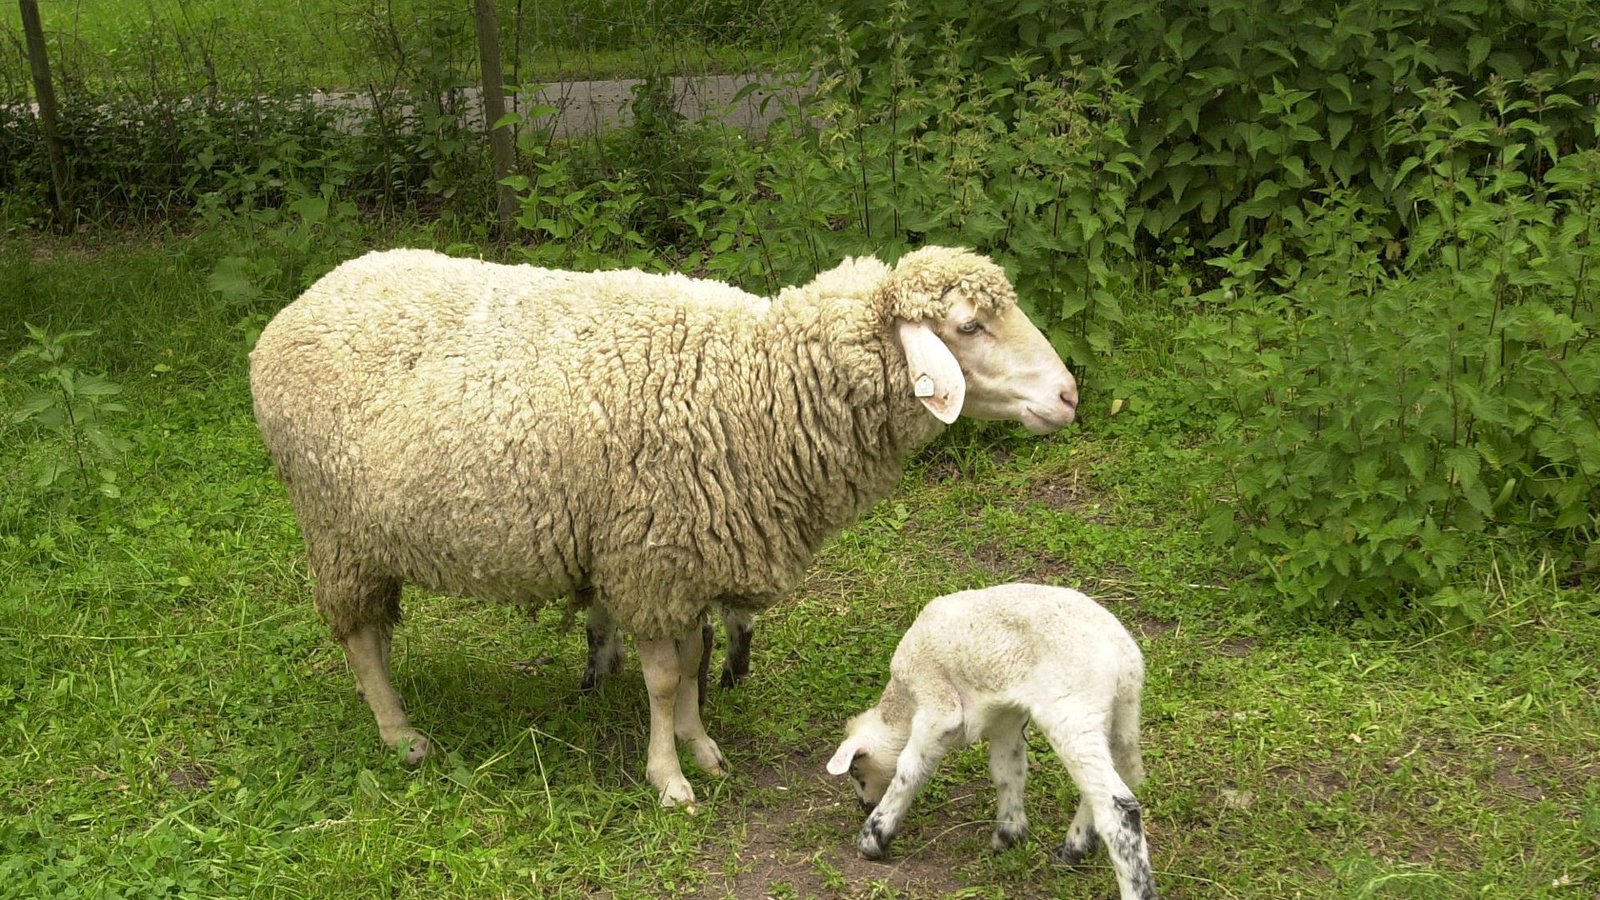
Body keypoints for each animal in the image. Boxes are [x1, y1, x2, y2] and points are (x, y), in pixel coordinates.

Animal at [249, 246, 1079, 808]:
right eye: (969, 326)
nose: (1070, 394)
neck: (758, 384)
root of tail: (297, 306)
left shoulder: (688, 557)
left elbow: (689, 658)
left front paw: (699, 744)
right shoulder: (650, 558)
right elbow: (662, 676)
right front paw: (669, 778)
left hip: (368, 536)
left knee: (373, 632)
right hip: (334, 529)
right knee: (357, 636)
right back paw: (399, 734)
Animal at [826, 583, 1155, 900]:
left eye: (854, 769)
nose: (864, 805)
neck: (902, 705)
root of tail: (1127, 661)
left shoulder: (937, 703)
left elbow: (909, 768)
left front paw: (873, 837)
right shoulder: (1007, 717)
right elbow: (1007, 770)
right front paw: (1009, 834)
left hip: (1072, 710)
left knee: (1118, 809)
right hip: (1115, 718)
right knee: (1104, 785)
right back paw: (1071, 851)